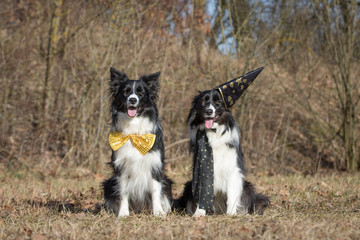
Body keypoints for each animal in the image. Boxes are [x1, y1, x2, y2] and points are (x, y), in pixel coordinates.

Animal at [102, 67, 173, 216]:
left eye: (141, 93)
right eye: (125, 92)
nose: (133, 100)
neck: (133, 129)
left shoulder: (154, 165)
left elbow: (155, 190)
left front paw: (158, 212)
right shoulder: (122, 166)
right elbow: (124, 192)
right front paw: (123, 213)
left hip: (168, 181)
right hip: (108, 184)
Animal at [177, 90, 270, 218]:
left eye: (218, 102)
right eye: (203, 101)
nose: (209, 111)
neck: (213, 132)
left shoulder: (232, 169)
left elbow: (232, 193)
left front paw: (231, 213)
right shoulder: (201, 169)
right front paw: (199, 213)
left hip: (247, 186)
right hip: (188, 186)